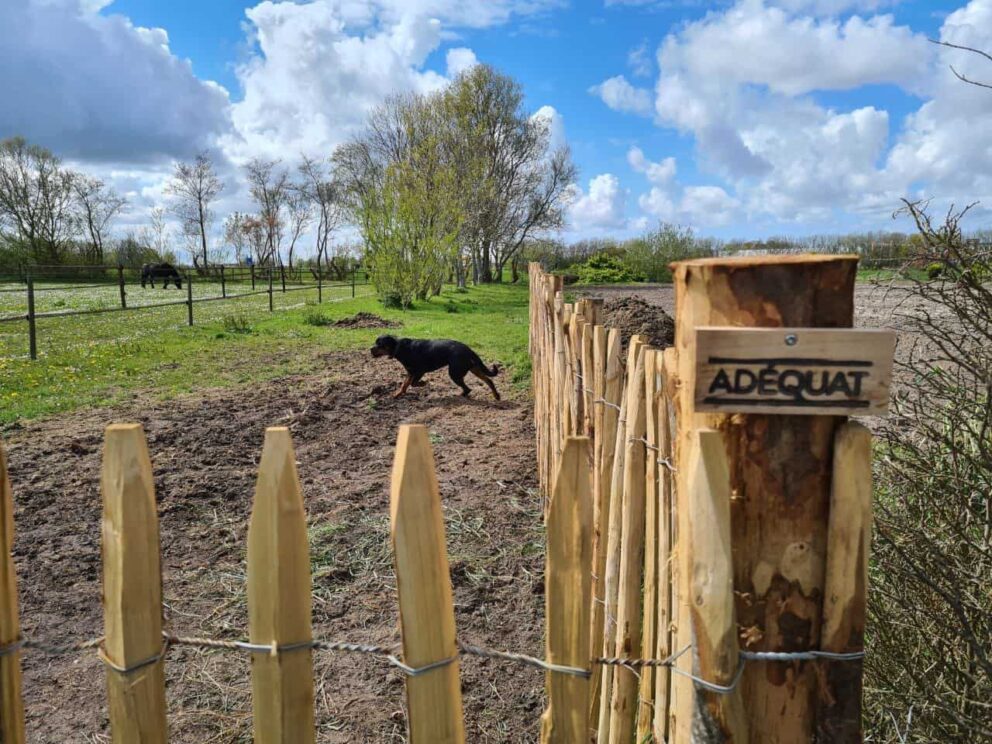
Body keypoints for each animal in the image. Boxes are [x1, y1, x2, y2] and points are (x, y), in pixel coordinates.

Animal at [370, 332, 500, 398]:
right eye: (376, 342)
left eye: (380, 344)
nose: (370, 349)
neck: (398, 347)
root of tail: (469, 350)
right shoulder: (410, 372)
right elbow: (405, 384)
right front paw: (398, 393)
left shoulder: (419, 371)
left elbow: (413, 383)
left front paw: (423, 383)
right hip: (473, 368)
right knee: (488, 380)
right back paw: (496, 395)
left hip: (454, 373)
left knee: (468, 388)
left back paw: (461, 394)